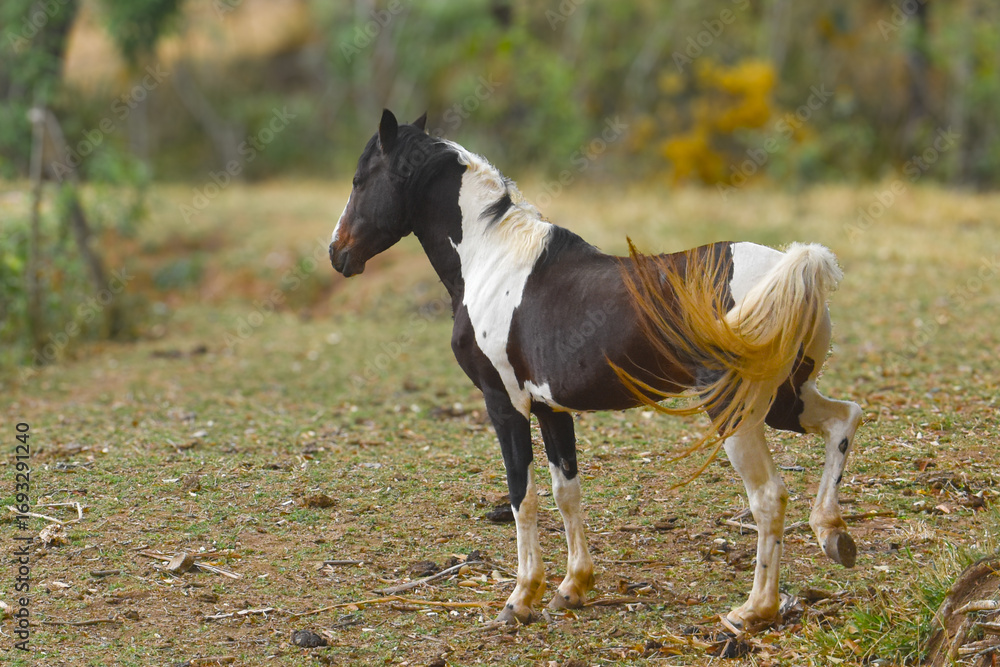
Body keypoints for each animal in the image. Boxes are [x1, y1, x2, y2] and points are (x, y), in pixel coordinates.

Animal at [329, 109, 863, 631]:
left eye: (359, 179)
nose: (337, 253)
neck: (494, 262)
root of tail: (794, 268)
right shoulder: (551, 409)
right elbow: (566, 492)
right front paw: (572, 588)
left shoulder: (506, 405)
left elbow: (522, 496)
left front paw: (520, 599)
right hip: (785, 399)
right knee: (846, 419)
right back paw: (833, 536)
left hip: (736, 409)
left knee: (768, 496)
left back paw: (754, 610)